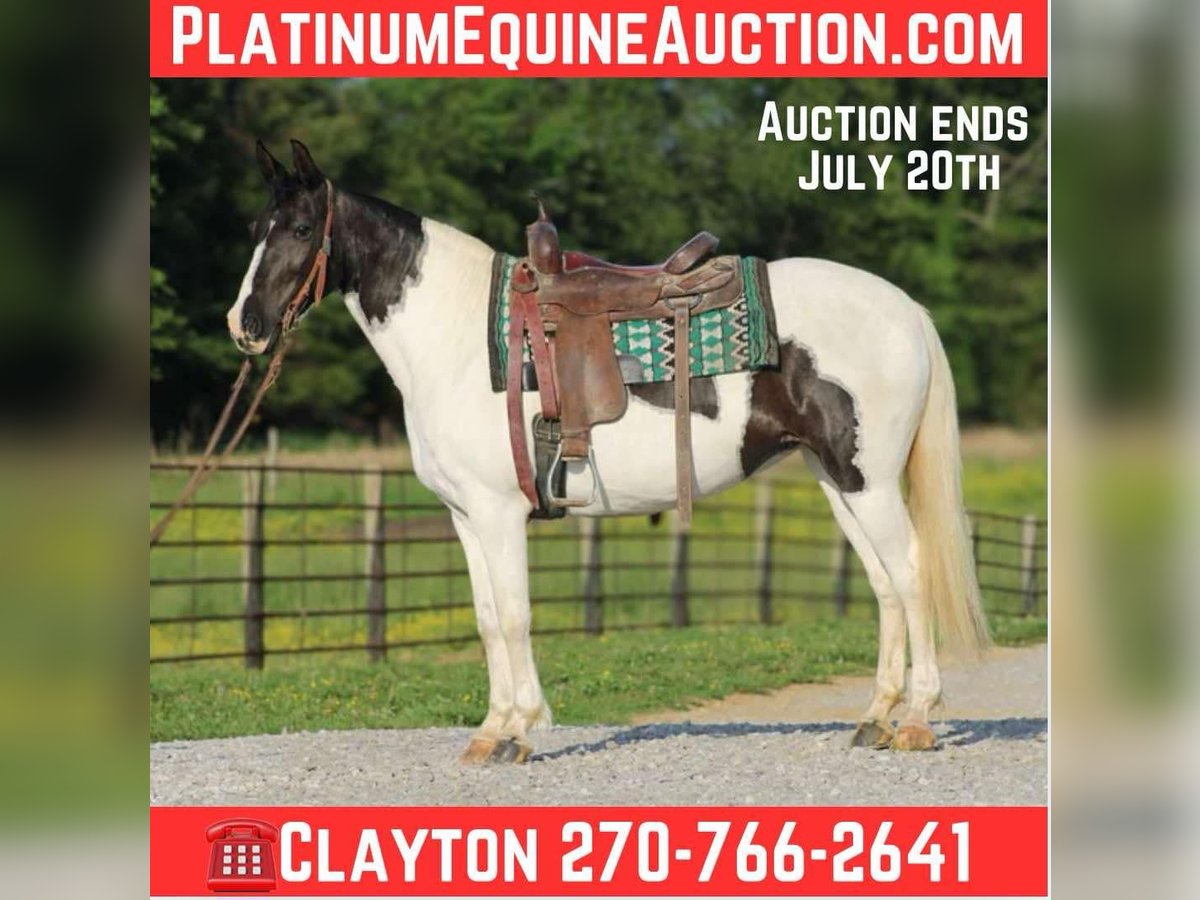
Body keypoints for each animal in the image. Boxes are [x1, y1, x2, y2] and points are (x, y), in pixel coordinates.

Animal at [227, 140, 990, 763]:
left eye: (301, 229)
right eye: (256, 229)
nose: (245, 325)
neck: (460, 338)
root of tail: (906, 310)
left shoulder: (499, 514)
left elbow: (514, 615)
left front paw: (520, 731)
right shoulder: (466, 518)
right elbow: (486, 618)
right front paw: (489, 732)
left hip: (869, 482)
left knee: (912, 575)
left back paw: (917, 722)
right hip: (838, 482)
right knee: (886, 586)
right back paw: (875, 719)